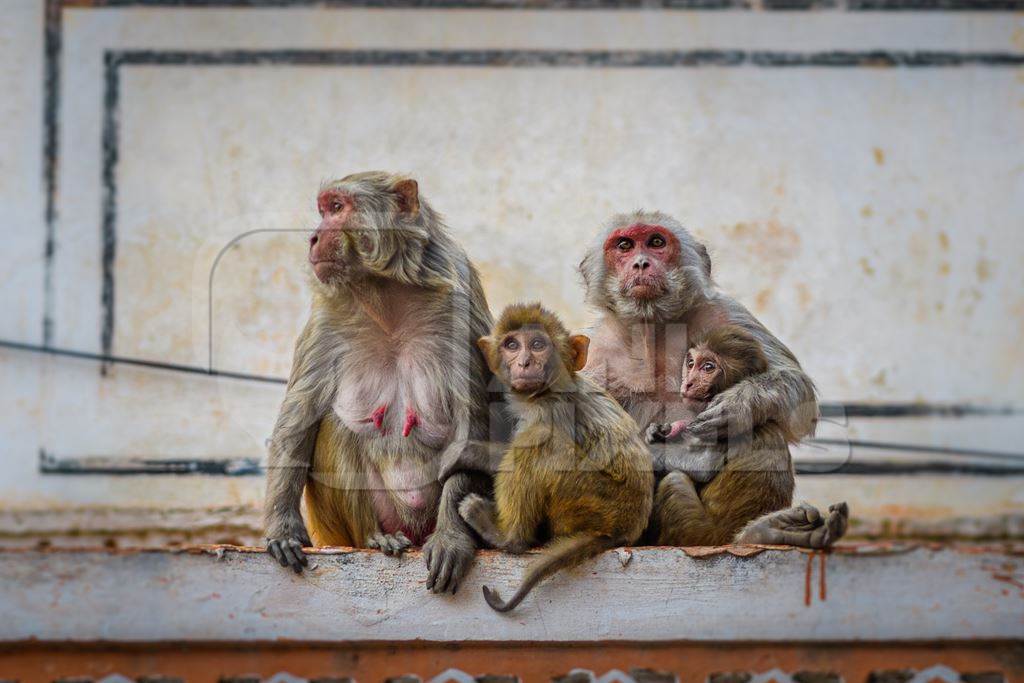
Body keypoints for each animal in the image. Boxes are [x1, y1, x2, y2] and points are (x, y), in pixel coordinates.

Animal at [264, 171, 491, 593]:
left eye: (337, 208)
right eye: (323, 209)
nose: (313, 237)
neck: (386, 296)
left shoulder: (461, 303)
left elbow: (473, 431)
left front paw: (452, 538)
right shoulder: (326, 317)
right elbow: (298, 421)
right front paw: (282, 529)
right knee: (336, 425)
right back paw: (377, 537)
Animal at [454, 305, 651, 614]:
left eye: (537, 344)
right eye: (512, 345)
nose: (524, 363)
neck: (544, 393)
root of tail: (625, 529)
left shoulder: (551, 410)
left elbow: (534, 439)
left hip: (595, 500)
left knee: (539, 443)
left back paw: (508, 537)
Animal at [581, 210, 851, 548]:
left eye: (656, 242)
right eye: (625, 246)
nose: (641, 263)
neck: (653, 329)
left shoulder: (723, 312)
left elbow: (796, 391)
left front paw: (739, 405)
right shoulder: (594, 352)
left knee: (764, 428)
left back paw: (761, 531)